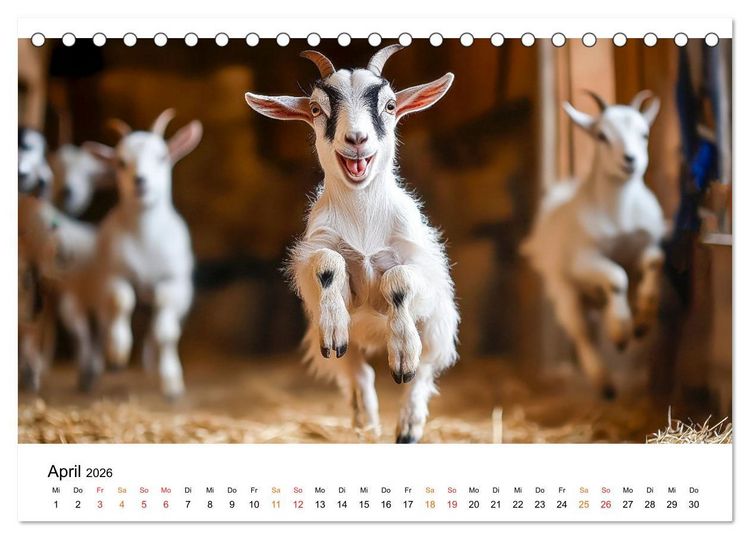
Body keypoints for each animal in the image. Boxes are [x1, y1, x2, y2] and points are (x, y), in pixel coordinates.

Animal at [85, 110, 202, 398]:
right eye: (120, 162)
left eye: (162, 156)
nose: (140, 181)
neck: (145, 239)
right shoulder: (114, 275)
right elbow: (122, 300)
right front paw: (118, 351)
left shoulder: (175, 283)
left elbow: (165, 332)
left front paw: (171, 383)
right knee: (102, 327)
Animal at [245, 46, 459, 443]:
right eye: (316, 109)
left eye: (390, 105)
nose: (356, 139)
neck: (364, 222)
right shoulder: (319, 257)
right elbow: (328, 263)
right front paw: (334, 325)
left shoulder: (421, 272)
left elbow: (398, 280)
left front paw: (402, 352)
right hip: (337, 345)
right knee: (359, 373)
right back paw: (367, 425)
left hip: (439, 327)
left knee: (422, 374)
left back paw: (408, 425)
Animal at [522, 90, 665, 399]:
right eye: (602, 136)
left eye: (645, 134)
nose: (630, 160)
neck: (620, 216)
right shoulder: (583, 259)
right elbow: (616, 277)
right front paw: (621, 332)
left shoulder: (646, 243)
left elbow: (654, 261)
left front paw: (643, 320)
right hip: (564, 290)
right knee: (582, 333)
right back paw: (604, 383)